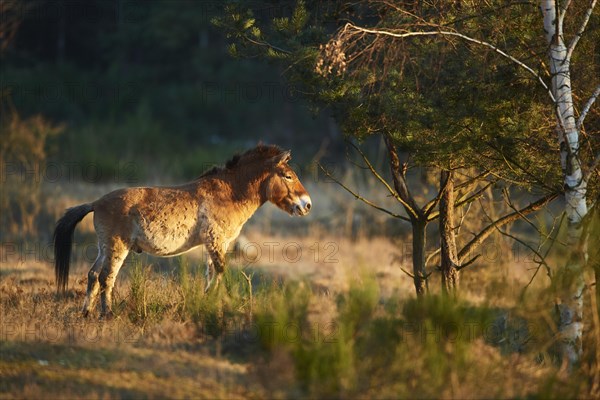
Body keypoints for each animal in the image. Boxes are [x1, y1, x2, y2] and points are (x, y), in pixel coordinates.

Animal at [54, 145, 312, 318]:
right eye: (288, 176)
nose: (307, 204)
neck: (229, 193)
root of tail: (96, 202)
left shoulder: (214, 245)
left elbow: (212, 274)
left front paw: (210, 302)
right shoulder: (216, 241)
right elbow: (220, 271)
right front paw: (214, 302)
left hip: (104, 248)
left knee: (93, 275)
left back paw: (86, 313)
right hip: (118, 247)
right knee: (107, 277)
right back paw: (107, 315)